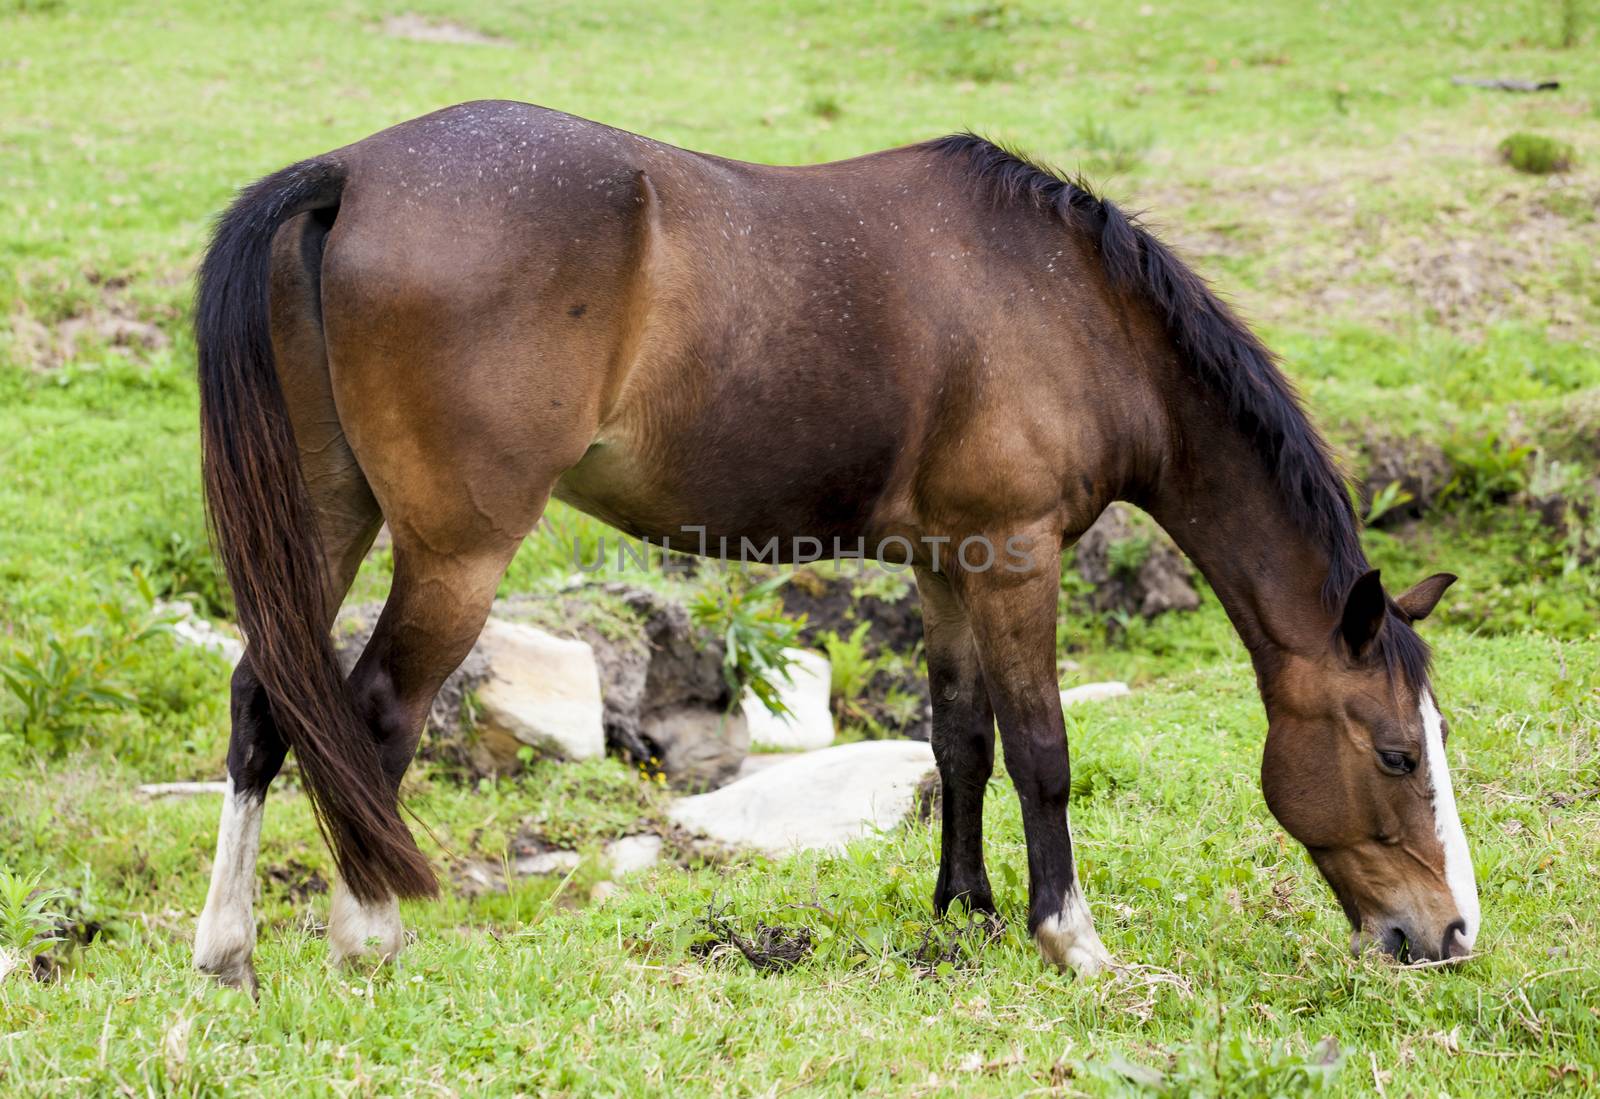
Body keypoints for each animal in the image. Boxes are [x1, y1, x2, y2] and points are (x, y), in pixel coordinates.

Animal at [193, 105, 1478, 998]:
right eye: (1395, 753)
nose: (1449, 933)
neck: (1070, 309)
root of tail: (349, 176)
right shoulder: (1018, 557)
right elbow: (1043, 751)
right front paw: (1071, 939)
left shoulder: (948, 563)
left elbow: (960, 740)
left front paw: (964, 910)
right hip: (454, 555)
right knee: (372, 716)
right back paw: (367, 934)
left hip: (327, 517)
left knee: (264, 698)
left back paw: (227, 953)